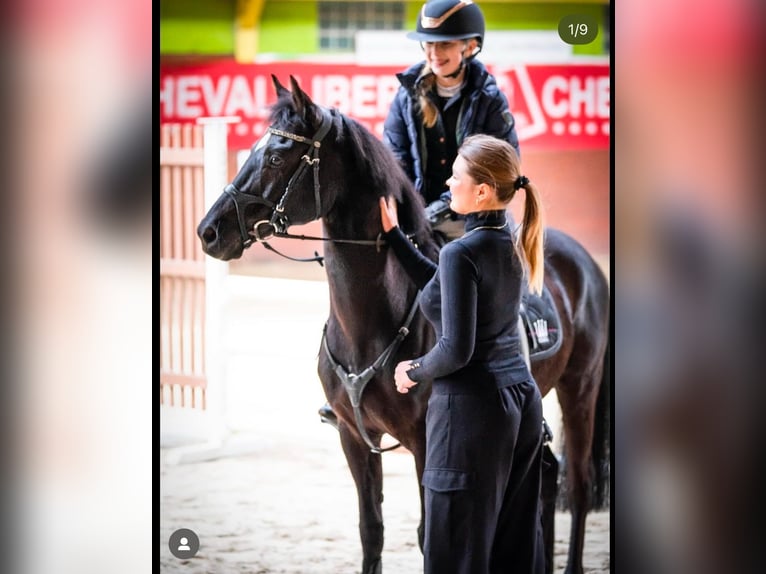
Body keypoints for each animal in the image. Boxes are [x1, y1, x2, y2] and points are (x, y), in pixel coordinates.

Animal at [196, 76, 612, 574]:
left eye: (276, 158)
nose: (208, 231)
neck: (372, 324)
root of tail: (584, 261)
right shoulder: (354, 439)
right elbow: (371, 530)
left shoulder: (427, 444)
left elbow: (428, 533)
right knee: (546, 480)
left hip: (580, 388)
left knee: (579, 483)